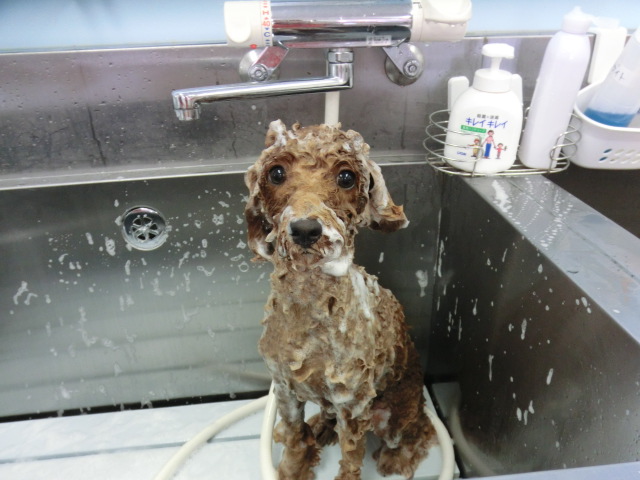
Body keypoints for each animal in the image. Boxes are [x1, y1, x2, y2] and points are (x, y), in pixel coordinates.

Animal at [245, 120, 434, 480]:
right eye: (276, 173)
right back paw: (321, 426)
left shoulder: (352, 403)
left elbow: (351, 459)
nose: (306, 229)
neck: (309, 304)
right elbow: (294, 438)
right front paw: (293, 467)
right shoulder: (285, 389)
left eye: (346, 177)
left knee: (420, 430)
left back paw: (397, 458)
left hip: (392, 416)